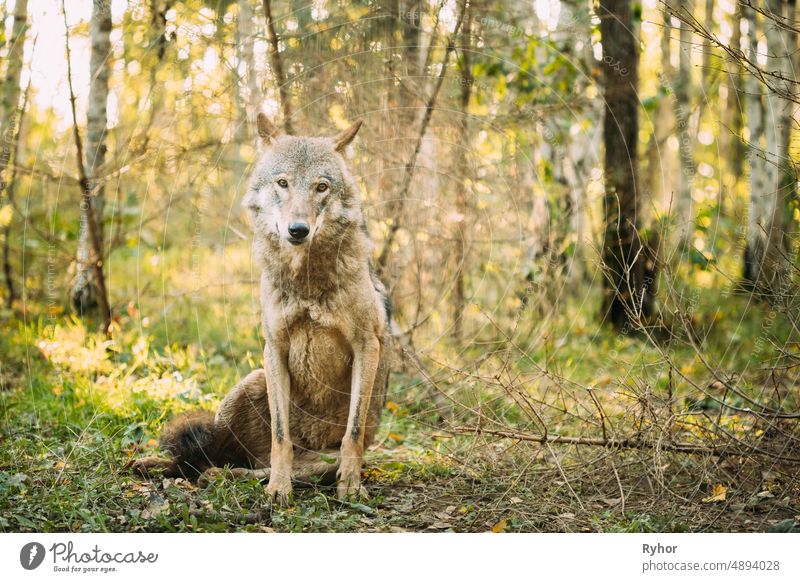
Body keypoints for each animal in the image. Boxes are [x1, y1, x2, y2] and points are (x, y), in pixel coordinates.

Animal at [130, 116, 390, 504]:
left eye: (321, 187)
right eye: (283, 183)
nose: (298, 230)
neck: (306, 283)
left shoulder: (366, 346)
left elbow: (353, 433)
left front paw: (352, 485)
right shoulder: (275, 348)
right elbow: (281, 438)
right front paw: (279, 490)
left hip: (312, 456)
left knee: (237, 466)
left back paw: (226, 476)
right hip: (248, 385)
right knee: (203, 456)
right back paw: (158, 465)